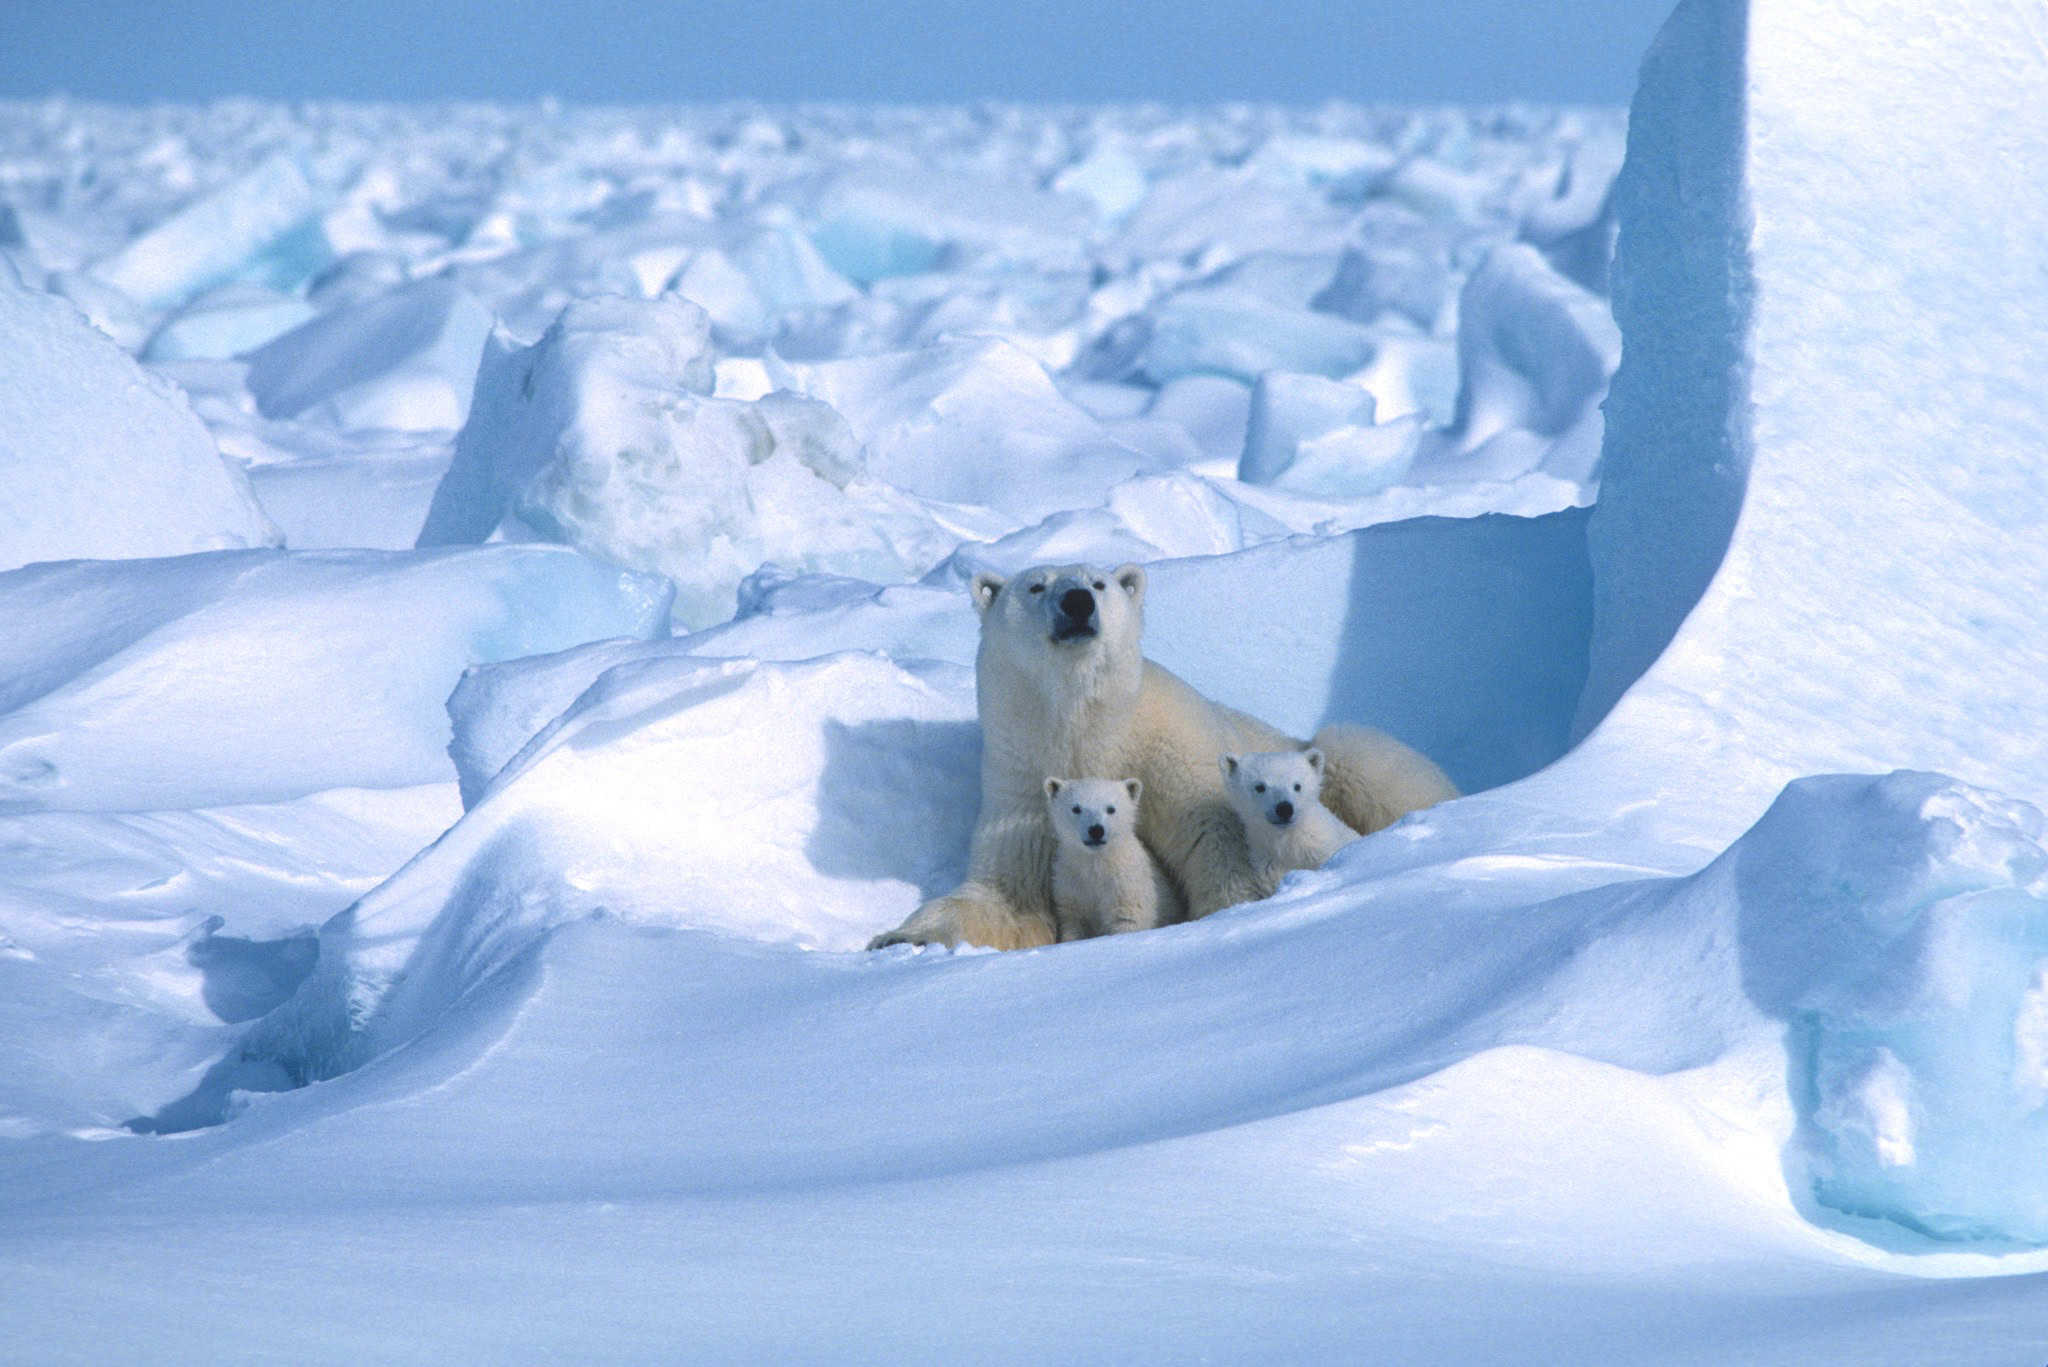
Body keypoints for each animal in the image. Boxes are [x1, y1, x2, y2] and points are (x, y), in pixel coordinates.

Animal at [864, 557, 1458, 950]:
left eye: (1099, 582)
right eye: (1035, 586)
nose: (1077, 602)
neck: (1090, 732)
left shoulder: (1174, 757)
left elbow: (1216, 843)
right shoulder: (1023, 787)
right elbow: (1007, 897)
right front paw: (898, 937)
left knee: (1360, 755)